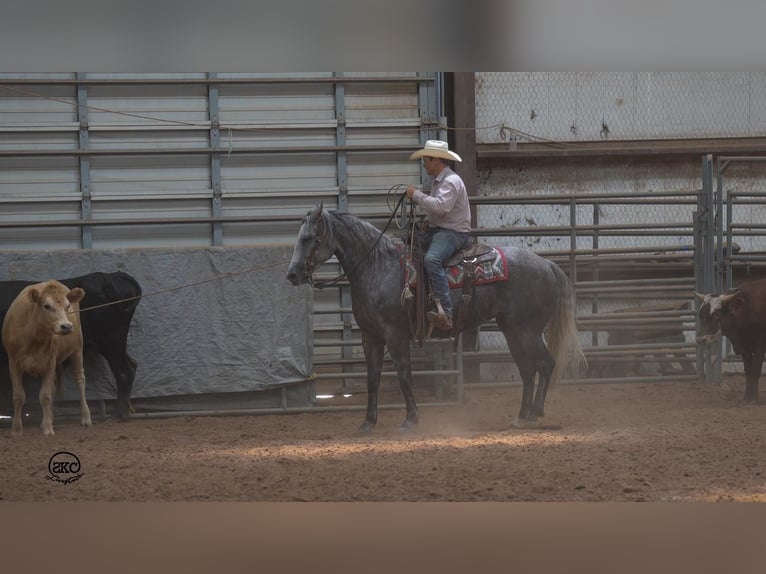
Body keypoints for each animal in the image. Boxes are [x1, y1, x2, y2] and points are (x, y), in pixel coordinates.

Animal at [0, 272, 142, 420]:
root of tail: (110, 275)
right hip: (108, 343)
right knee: (131, 365)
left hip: (112, 340)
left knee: (123, 372)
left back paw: (117, 414)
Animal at [0, 282, 91, 438]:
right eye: (47, 306)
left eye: (67, 306)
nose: (67, 326)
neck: (33, 337)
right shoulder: (14, 363)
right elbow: (18, 396)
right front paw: (16, 430)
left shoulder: (49, 362)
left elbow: (45, 395)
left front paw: (48, 428)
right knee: (54, 386)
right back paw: (48, 419)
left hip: (77, 348)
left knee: (79, 379)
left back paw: (85, 417)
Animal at [288, 202, 588, 432]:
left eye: (308, 238)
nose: (292, 274)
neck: (378, 266)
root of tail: (547, 265)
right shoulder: (370, 336)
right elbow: (372, 380)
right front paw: (368, 423)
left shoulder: (395, 335)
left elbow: (404, 376)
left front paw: (410, 420)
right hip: (513, 330)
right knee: (528, 370)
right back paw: (521, 416)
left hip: (526, 330)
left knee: (545, 364)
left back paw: (535, 412)